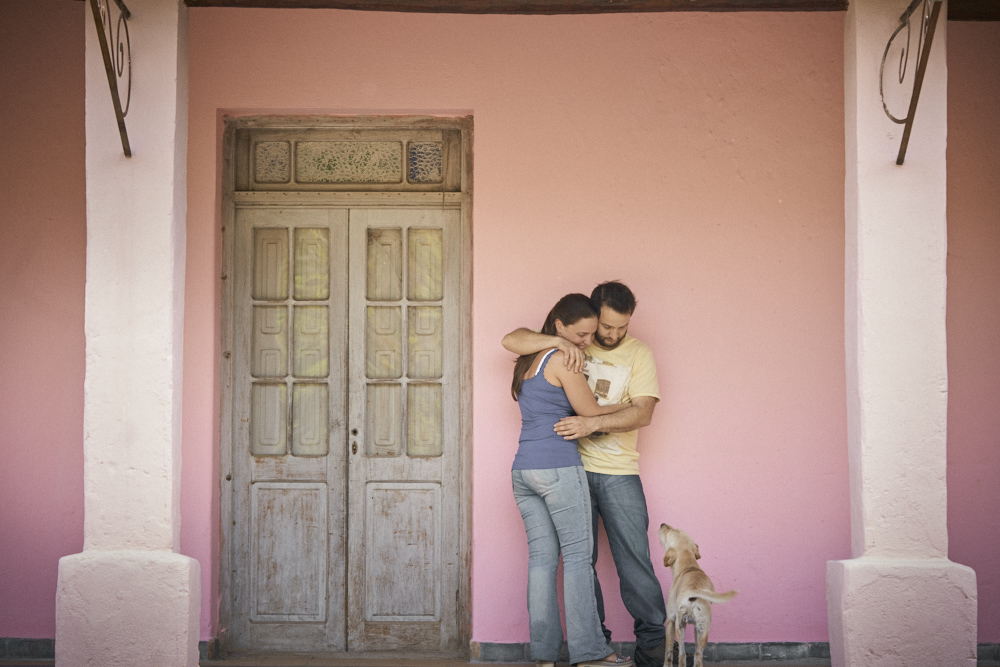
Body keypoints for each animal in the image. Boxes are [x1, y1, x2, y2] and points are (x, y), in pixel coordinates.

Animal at [660, 524, 740, 667]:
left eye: (670, 531)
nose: (662, 524)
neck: (689, 567)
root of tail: (694, 591)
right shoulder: (695, 627)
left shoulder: (671, 620)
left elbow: (668, 651)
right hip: (702, 630)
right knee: (698, 655)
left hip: (680, 627)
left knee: (682, 655)